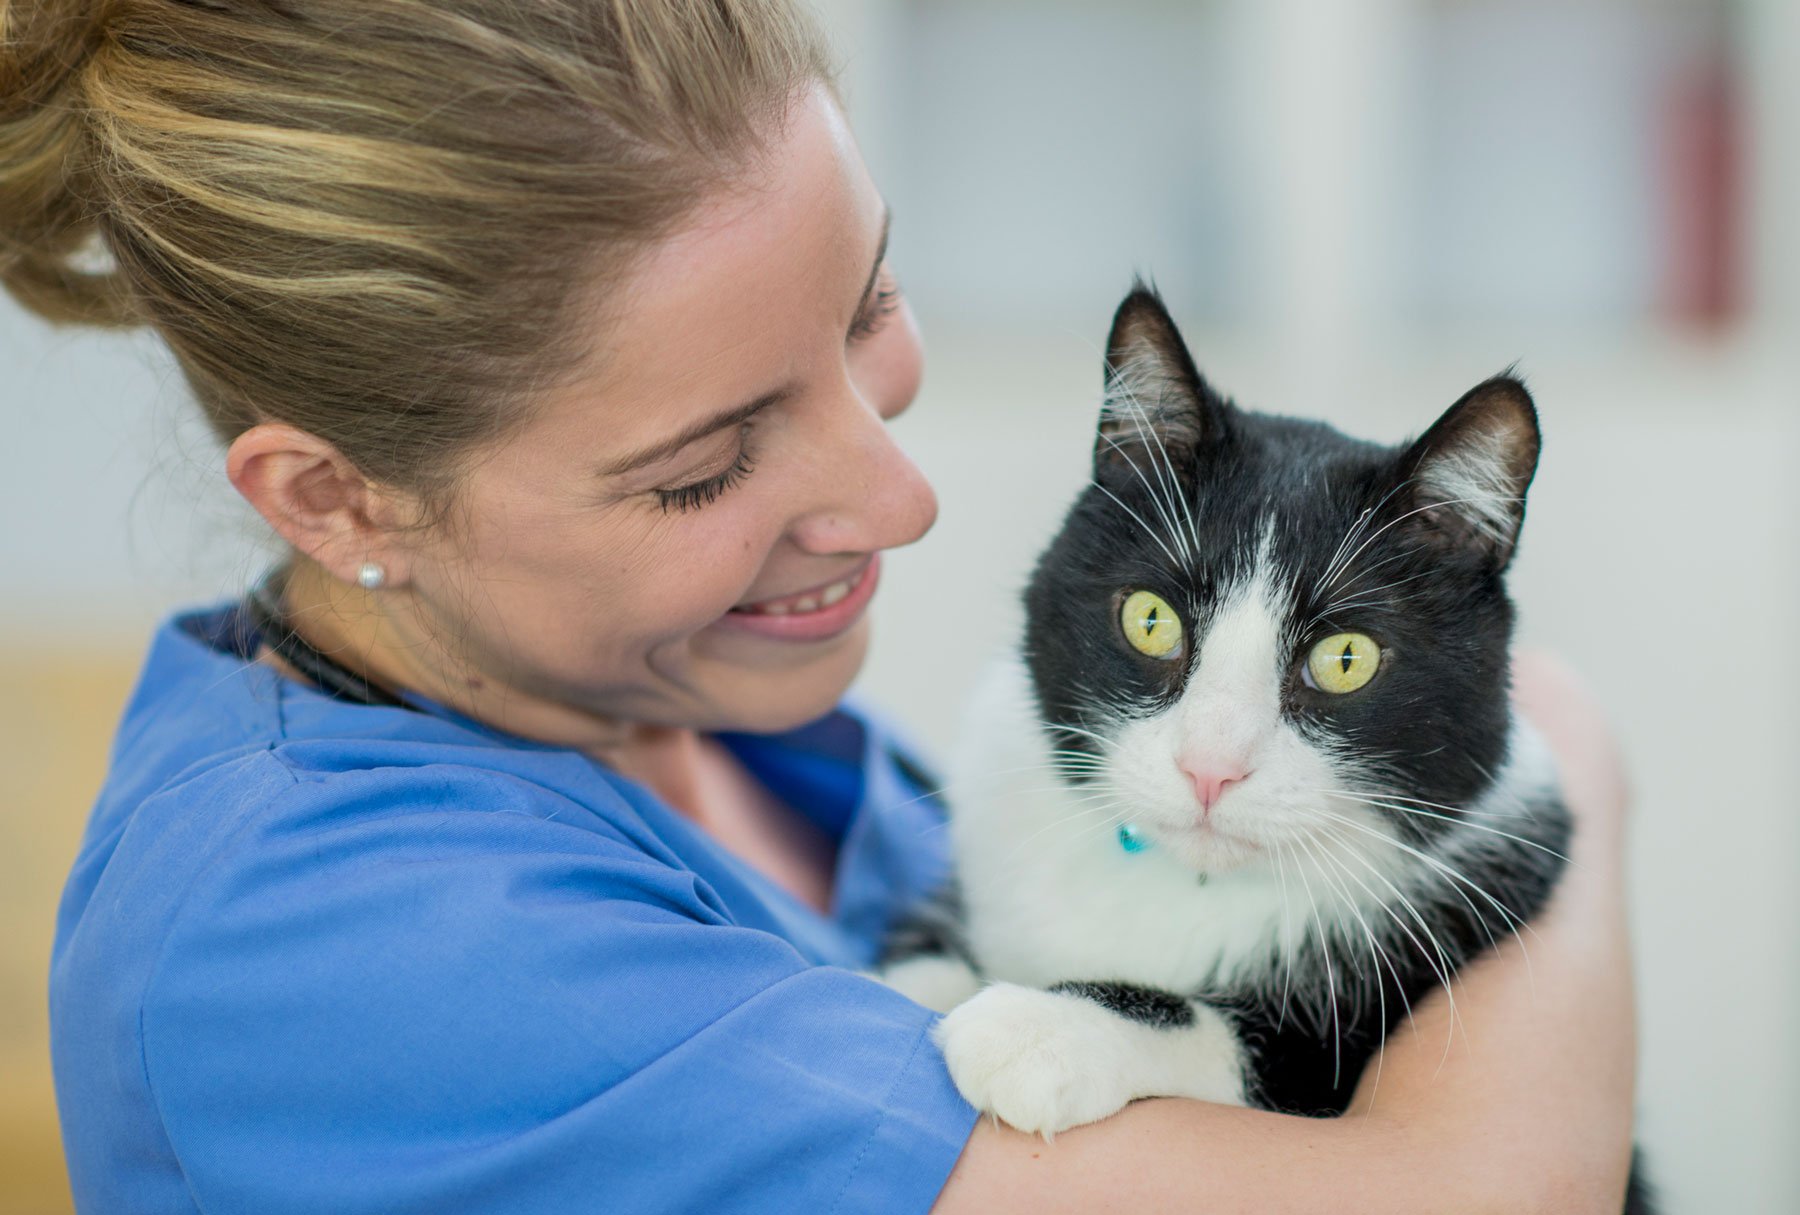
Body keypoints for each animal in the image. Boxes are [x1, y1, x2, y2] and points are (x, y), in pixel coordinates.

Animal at [885, 288, 1656, 1215]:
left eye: (1345, 659)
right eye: (1150, 619)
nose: (1209, 767)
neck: (1188, 884)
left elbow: (1250, 1045)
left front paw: (1040, 1027)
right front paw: (914, 981)